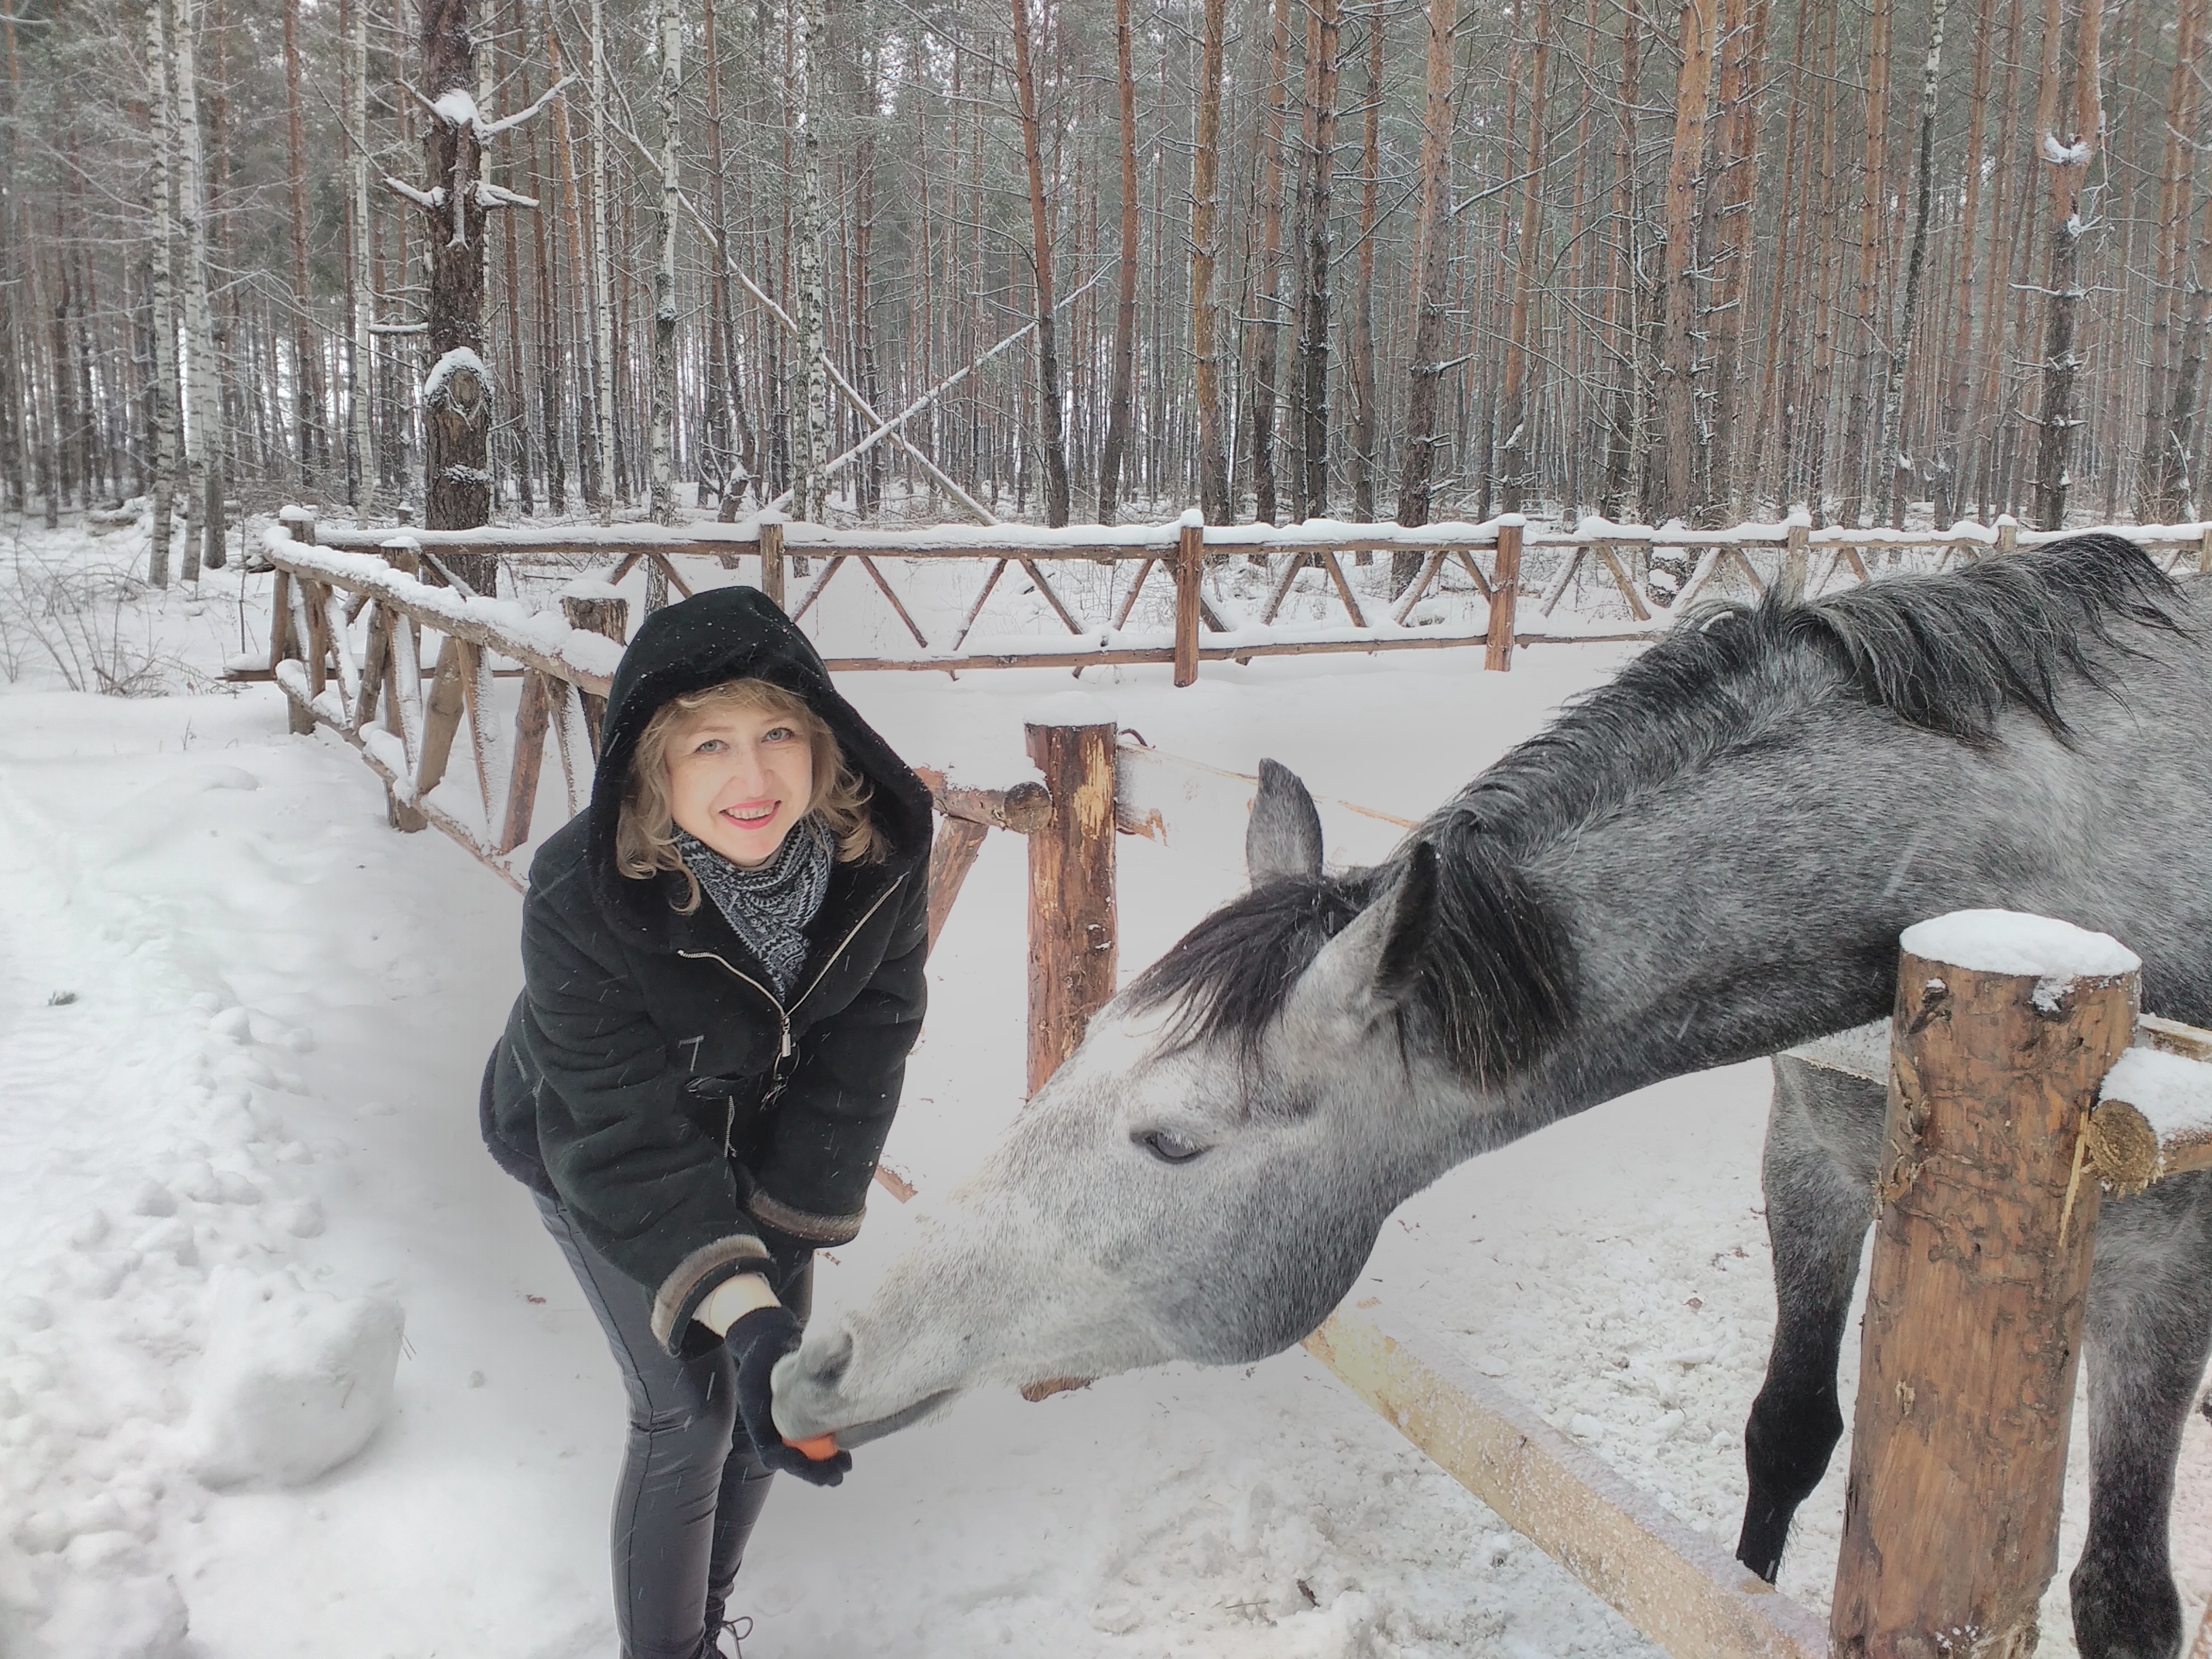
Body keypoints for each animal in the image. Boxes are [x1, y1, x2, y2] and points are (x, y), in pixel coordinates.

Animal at [774, 539, 2212, 1654]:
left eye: (1172, 1141)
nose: (817, 1363)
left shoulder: (2162, 1263)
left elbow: (2119, 1594)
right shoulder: (1809, 1146)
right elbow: (1785, 1432)